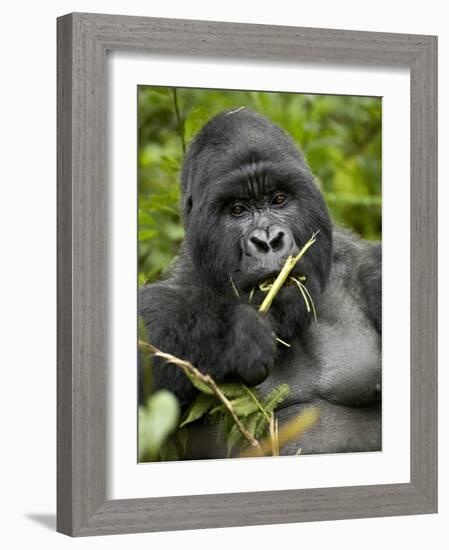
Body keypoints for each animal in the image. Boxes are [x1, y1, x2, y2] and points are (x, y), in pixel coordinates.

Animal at [138, 108, 380, 458]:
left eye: (279, 199)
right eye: (238, 209)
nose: (268, 240)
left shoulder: (370, 270)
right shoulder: (183, 279)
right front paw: (233, 333)